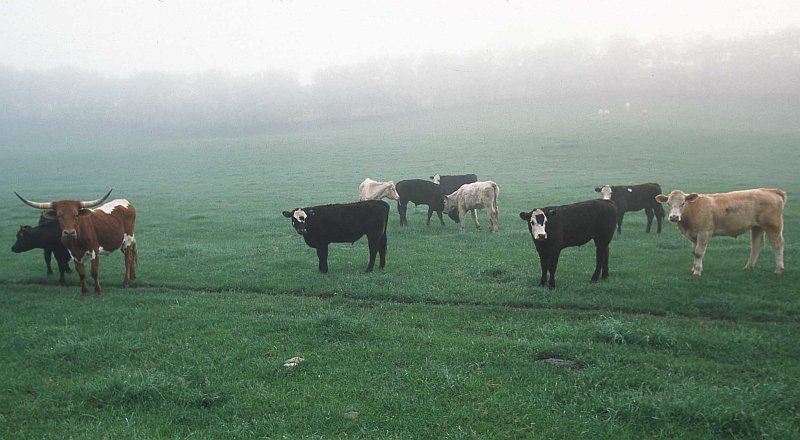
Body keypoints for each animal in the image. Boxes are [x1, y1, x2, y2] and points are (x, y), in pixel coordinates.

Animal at [656, 188, 788, 276]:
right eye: (668, 203)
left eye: (683, 203)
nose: (674, 217)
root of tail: (770, 191)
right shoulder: (693, 236)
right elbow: (694, 252)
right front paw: (694, 268)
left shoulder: (703, 233)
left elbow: (699, 252)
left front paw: (697, 271)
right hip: (757, 227)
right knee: (756, 245)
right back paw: (748, 267)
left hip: (773, 226)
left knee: (778, 244)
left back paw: (779, 269)